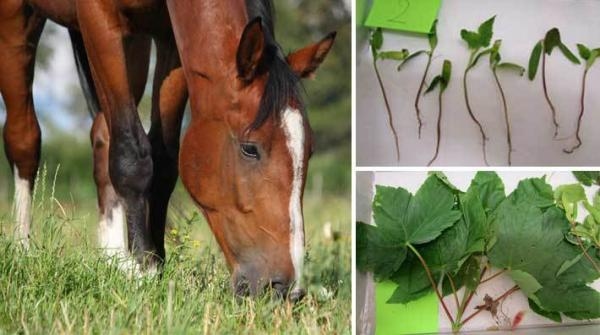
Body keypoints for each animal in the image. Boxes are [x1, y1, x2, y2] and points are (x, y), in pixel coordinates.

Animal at [0, 0, 336, 302]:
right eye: (250, 149)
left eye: (309, 152)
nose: (285, 289)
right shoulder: (97, 17)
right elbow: (132, 157)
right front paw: (142, 273)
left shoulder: (169, 39)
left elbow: (163, 160)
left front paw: (154, 264)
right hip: (22, 20)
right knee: (25, 138)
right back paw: (23, 249)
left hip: (133, 42)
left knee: (103, 136)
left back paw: (113, 258)